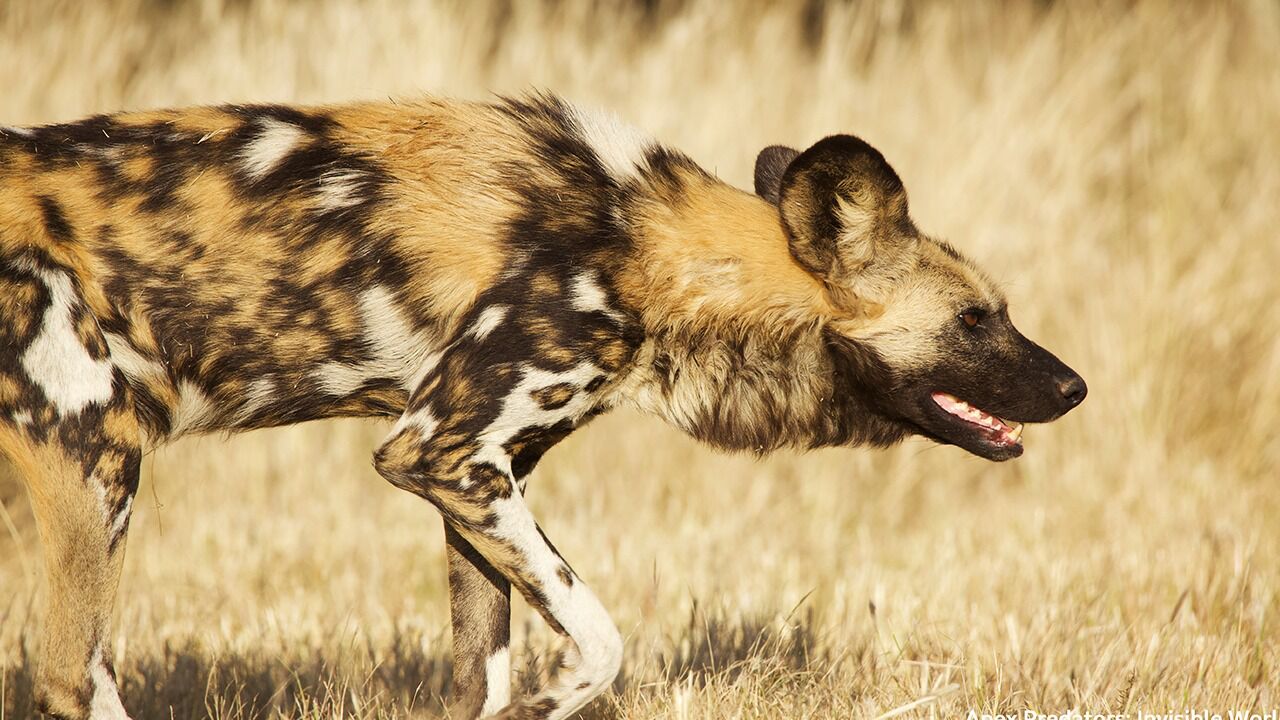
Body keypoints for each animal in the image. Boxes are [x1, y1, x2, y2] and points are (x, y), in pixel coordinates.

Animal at [0, 92, 1080, 712]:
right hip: (98, 454)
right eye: (976, 319)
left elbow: (482, 677)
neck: (644, 248)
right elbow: (599, 640)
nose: (1074, 387)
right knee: (71, 670)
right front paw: (554, 697)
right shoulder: (441, 452)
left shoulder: (473, 480)